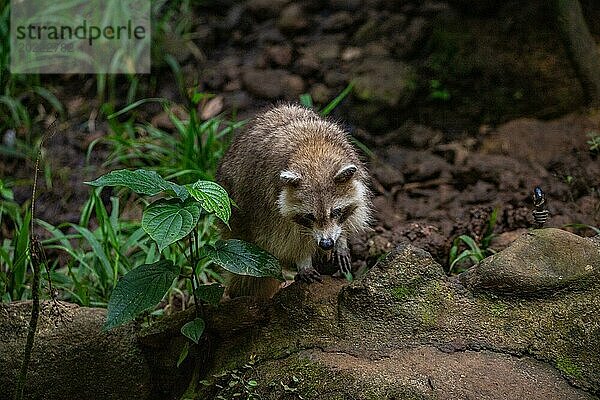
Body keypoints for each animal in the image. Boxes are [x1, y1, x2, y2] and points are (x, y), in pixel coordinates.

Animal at [217, 103, 370, 296]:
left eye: (336, 211)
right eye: (310, 216)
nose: (327, 243)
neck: (314, 152)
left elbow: (349, 219)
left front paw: (341, 240)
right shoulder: (268, 203)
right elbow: (286, 239)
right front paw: (303, 260)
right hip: (236, 213)